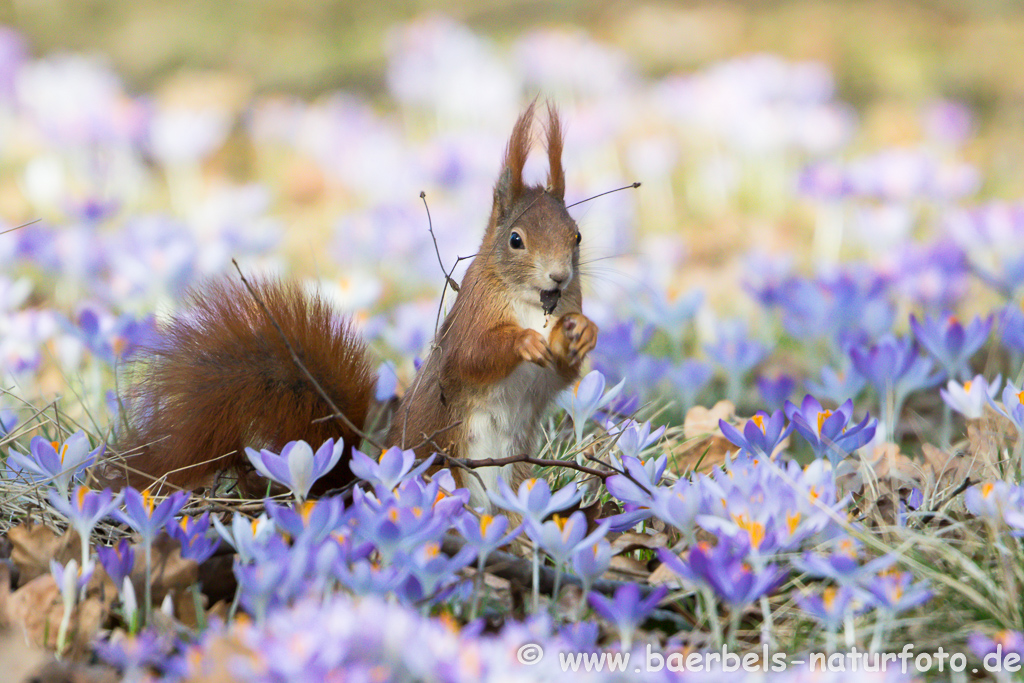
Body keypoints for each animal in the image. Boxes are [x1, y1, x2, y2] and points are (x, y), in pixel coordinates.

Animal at [115, 102, 598, 507]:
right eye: (516, 240)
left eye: (576, 235)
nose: (559, 277)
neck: (533, 304)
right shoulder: (471, 319)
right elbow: (473, 356)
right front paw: (523, 342)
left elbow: (562, 373)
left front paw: (584, 332)